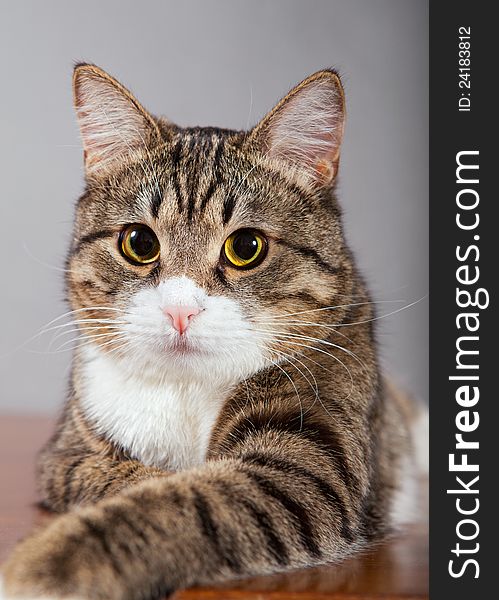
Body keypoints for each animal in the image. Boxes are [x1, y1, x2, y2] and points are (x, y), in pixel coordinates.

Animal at [0, 65, 424, 600]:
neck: (188, 388)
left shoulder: (305, 466)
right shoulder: (71, 454)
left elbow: (180, 502)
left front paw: (42, 564)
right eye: (138, 242)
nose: (180, 311)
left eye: (246, 247)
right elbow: (135, 478)